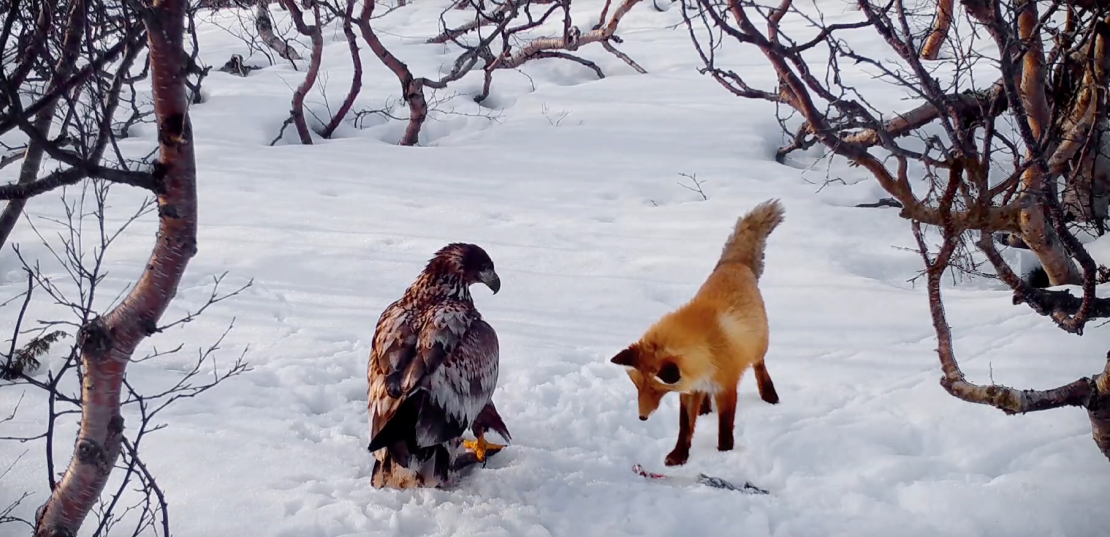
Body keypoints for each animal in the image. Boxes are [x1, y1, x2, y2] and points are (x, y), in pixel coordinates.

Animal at [610, 198, 784, 467]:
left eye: (656, 390)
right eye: (637, 387)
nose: (641, 418)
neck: (706, 347)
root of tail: (733, 264)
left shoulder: (726, 386)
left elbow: (725, 425)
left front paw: (724, 453)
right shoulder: (688, 388)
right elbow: (685, 426)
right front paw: (679, 455)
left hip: (758, 346)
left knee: (759, 365)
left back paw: (769, 393)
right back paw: (704, 407)